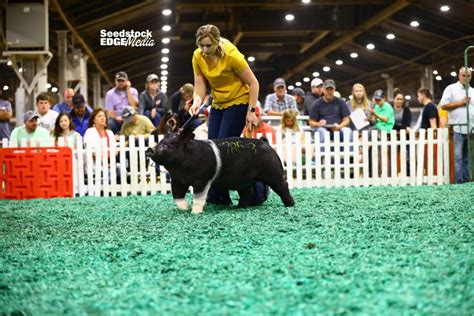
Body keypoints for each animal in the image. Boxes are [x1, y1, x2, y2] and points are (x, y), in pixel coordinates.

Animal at [145, 126, 292, 215]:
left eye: (170, 144)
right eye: (160, 142)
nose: (149, 149)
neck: (181, 168)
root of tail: (266, 144)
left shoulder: (202, 180)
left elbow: (199, 197)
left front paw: (195, 212)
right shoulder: (177, 180)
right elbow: (177, 195)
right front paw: (185, 209)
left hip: (273, 171)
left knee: (283, 185)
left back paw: (290, 205)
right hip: (243, 181)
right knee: (248, 192)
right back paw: (239, 207)